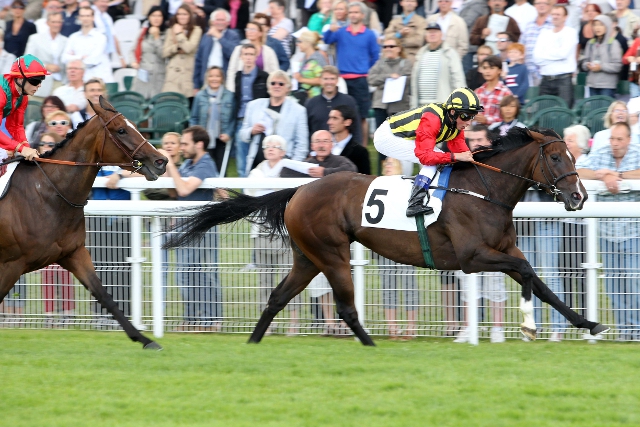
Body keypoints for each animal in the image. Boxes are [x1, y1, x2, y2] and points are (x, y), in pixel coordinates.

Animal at [0, 96, 168, 352]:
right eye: (121, 130)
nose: (161, 161)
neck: (49, 195)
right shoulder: (11, 264)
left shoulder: (73, 253)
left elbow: (103, 294)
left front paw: (145, 339)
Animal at [162, 126, 608, 344]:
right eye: (556, 157)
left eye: (574, 155)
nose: (579, 196)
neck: (485, 190)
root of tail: (300, 188)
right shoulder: (472, 257)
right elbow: (529, 274)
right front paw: (530, 325)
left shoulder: (502, 249)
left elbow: (540, 282)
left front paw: (588, 324)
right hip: (332, 253)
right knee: (343, 306)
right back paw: (366, 343)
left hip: (308, 257)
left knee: (277, 296)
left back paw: (254, 344)